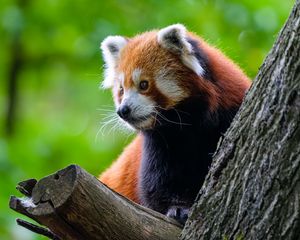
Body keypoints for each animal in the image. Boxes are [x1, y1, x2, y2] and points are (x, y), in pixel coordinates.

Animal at [99, 23, 251, 224]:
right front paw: (178, 208)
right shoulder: (159, 144)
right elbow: (156, 185)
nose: (123, 111)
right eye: (122, 90)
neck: (188, 124)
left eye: (144, 84)